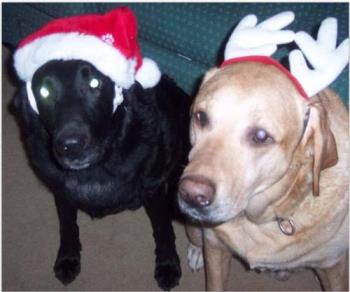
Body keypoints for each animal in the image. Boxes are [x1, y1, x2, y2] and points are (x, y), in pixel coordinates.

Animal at [10, 59, 191, 290]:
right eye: (44, 91)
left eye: (95, 82)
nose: (71, 146)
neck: (96, 169)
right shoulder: (61, 191)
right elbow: (67, 226)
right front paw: (68, 258)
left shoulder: (154, 192)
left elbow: (163, 230)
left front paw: (167, 265)